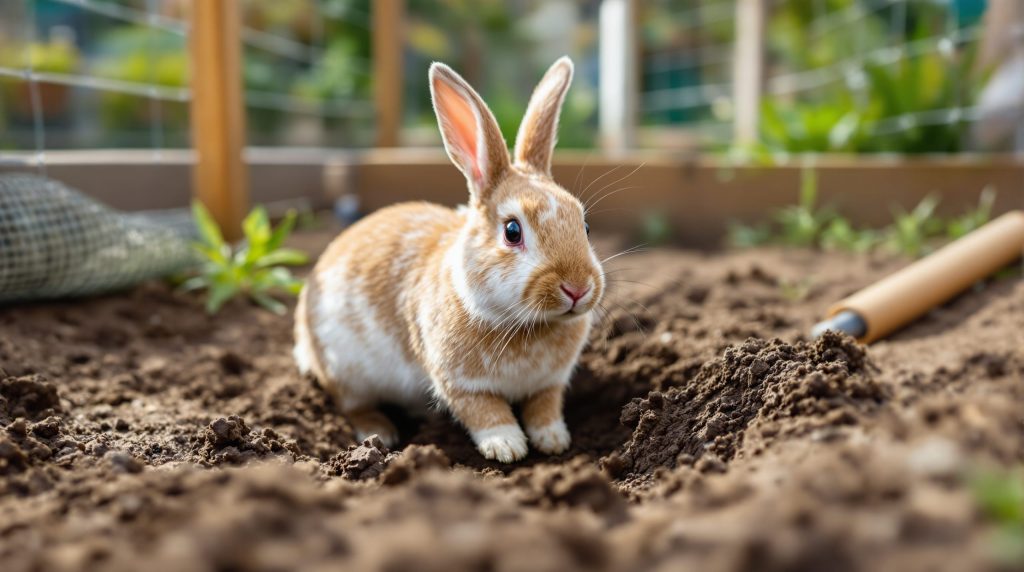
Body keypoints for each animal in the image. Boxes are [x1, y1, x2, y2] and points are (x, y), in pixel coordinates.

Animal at [293, 57, 604, 463]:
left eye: (585, 225)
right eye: (512, 231)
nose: (577, 288)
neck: (526, 325)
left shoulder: (549, 383)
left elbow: (544, 408)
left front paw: (554, 441)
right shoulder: (460, 383)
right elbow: (485, 411)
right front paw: (507, 447)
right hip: (347, 372)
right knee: (353, 406)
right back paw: (381, 433)